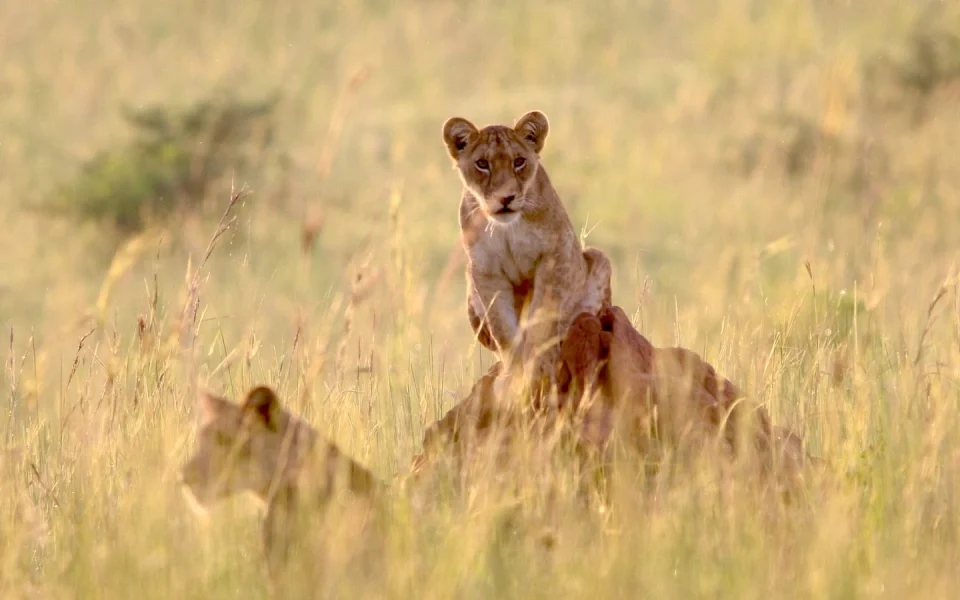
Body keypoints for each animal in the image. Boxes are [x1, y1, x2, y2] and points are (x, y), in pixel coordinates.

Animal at [442, 110, 613, 393]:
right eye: (482, 164)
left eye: (519, 161)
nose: (506, 198)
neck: (507, 227)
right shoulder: (485, 271)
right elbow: (503, 327)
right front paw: (514, 375)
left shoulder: (554, 256)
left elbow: (541, 318)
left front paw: (537, 367)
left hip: (598, 261)